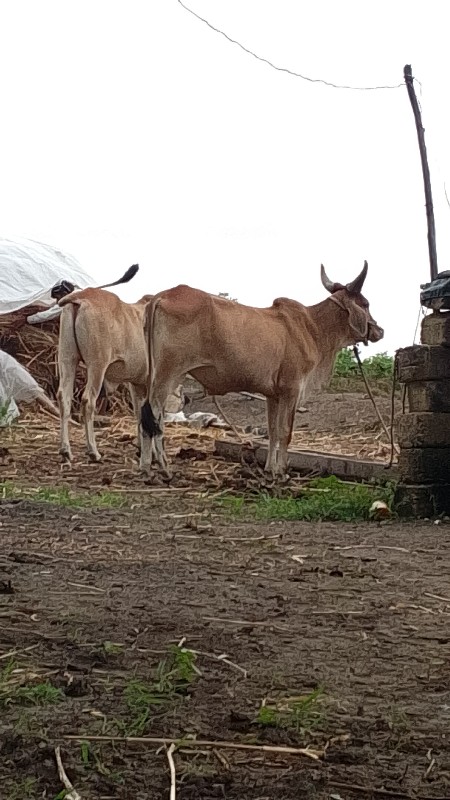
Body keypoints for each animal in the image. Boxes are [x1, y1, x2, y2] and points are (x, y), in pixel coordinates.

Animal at [56, 265, 182, 465]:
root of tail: (80, 297)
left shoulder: (136, 382)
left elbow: (139, 414)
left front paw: (142, 450)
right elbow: (153, 415)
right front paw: (154, 454)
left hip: (67, 359)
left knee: (64, 398)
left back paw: (66, 450)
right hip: (97, 366)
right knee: (87, 401)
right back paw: (93, 451)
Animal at [140, 261, 384, 479]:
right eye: (366, 303)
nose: (379, 331)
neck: (314, 328)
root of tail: (160, 297)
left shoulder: (272, 395)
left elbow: (273, 432)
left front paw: (269, 469)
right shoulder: (291, 389)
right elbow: (285, 432)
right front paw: (281, 472)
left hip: (156, 377)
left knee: (147, 416)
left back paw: (148, 468)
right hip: (169, 374)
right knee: (154, 417)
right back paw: (161, 468)